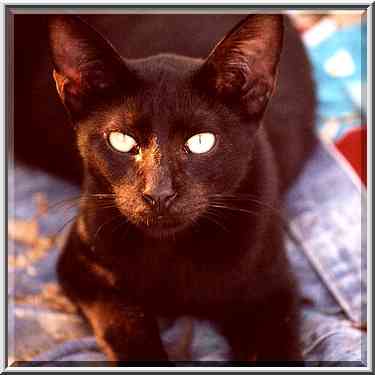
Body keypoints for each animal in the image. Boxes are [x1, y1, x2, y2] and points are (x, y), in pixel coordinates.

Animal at [13, 13, 318, 364]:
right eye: (122, 140)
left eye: (201, 142)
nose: (158, 193)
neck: (174, 250)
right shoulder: (83, 267)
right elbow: (128, 324)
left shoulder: (271, 291)